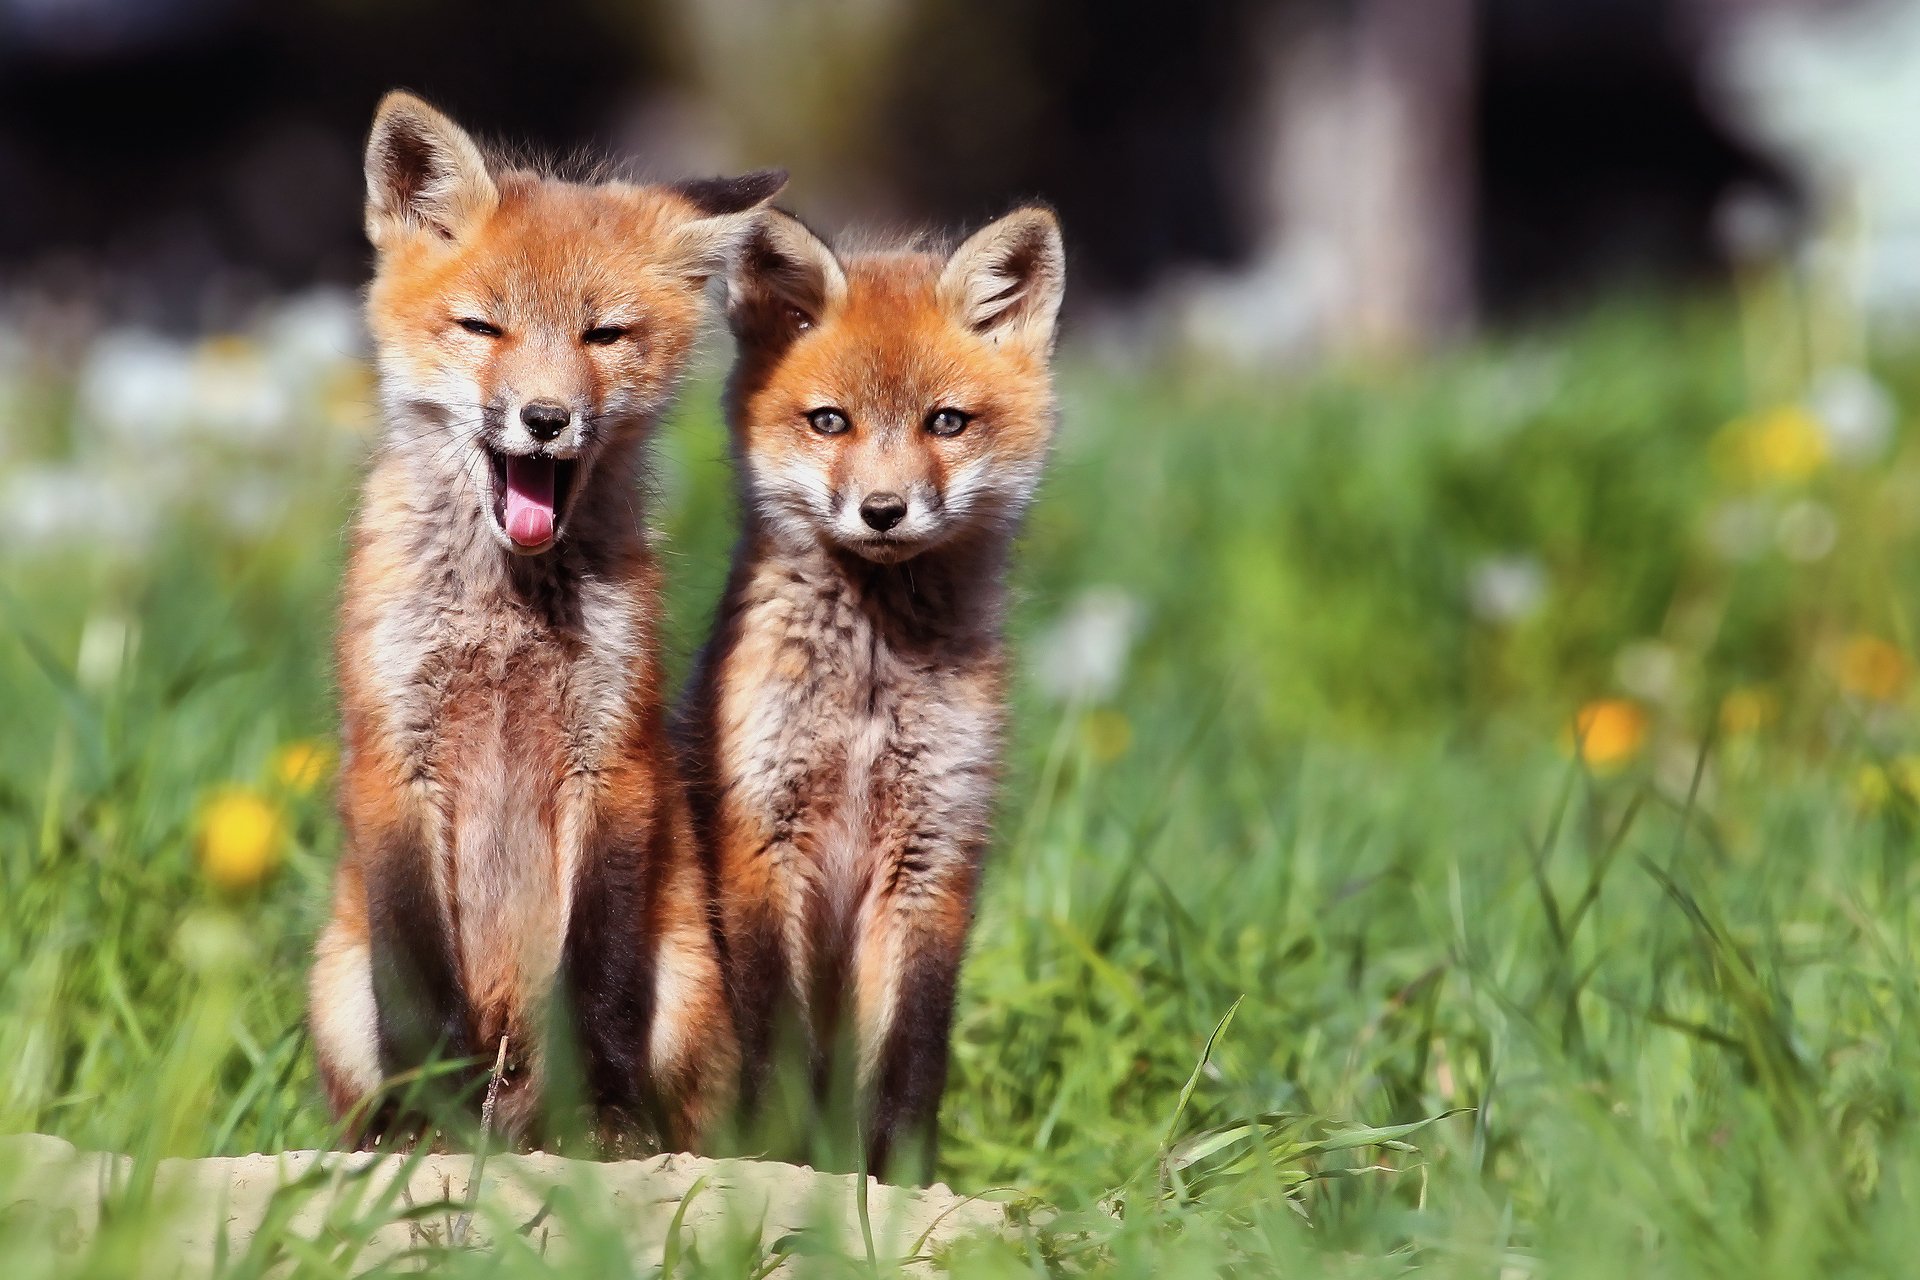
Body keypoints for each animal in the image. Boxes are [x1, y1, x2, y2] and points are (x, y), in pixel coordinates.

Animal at [307, 90, 783, 1152]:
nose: (545, 418)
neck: (503, 616)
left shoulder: (611, 756)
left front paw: (599, 1115)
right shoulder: (394, 757)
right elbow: (419, 986)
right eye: (483, 326)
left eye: (603, 336)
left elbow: (597, 978)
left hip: (685, 987)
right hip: (337, 988)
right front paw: (425, 1117)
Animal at [676, 206, 1066, 1180]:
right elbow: (779, 1046)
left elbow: (911, 1057)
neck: (868, 689)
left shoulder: (933, 852)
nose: (883, 511)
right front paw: (781, 1161)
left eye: (946, 421)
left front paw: (898, 1183)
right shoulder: (761, 838)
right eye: (830, 421)